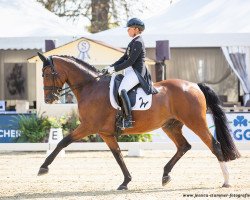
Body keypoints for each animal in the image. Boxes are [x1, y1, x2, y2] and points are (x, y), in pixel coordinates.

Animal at [37, 52, 240, 190]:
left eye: (47, 74)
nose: (49, 99)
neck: (91, 86)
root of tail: (194, 85)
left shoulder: (88, 127)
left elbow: (62, 142)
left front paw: (43, 168)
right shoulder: (105, 133)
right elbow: (118, 155)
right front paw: (126, 182)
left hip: (195, 122)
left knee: (214, 145)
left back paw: (226, 181)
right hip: (171, 126)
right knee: (184, 146)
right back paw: (165, 175)